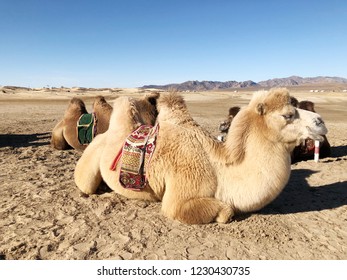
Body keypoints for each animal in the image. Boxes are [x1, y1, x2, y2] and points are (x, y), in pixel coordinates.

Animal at [75, 88, 328, 224]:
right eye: (287, 115)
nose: (321, 122)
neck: (219, 168)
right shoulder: (178, 199)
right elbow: (226, 210)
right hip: (89, 162)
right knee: (85, 184)